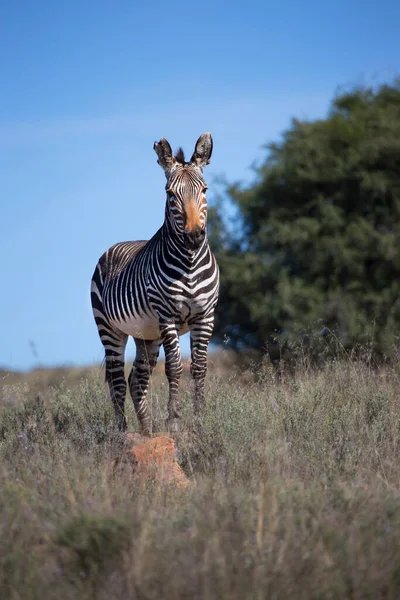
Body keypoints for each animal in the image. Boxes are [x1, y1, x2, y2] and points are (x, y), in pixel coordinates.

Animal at [91, 131, 219, 434]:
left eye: (205, 190)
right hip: (110, 330)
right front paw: (174, 421)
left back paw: (147, 432)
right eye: (170, 194)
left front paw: (201, 418)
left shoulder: (205, 316)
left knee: (136, 381)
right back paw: (124, 434)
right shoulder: (167, 316)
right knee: (117, 382)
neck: (189, 263)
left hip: (145, 335)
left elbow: (200, 367)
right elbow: (174, 368)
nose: (194, 236)